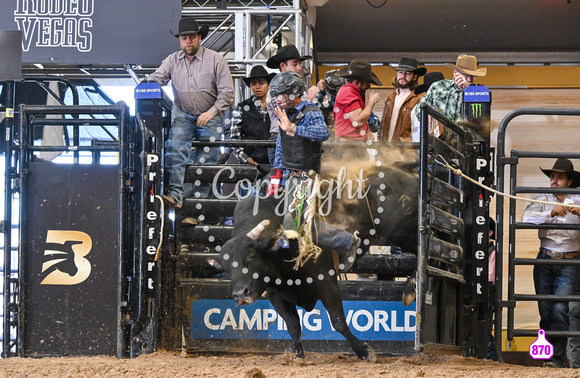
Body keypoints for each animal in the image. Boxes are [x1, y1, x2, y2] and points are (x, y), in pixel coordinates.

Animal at [216, 164, 416, 358]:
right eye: (226, 267)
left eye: (251, 255)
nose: (240, 294)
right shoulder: (275, 294)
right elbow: (292, 325)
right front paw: (297, 355)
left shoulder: (326, 281)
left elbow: (338, 321)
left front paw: (364, 351)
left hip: (402, 229)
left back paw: (409, 289)